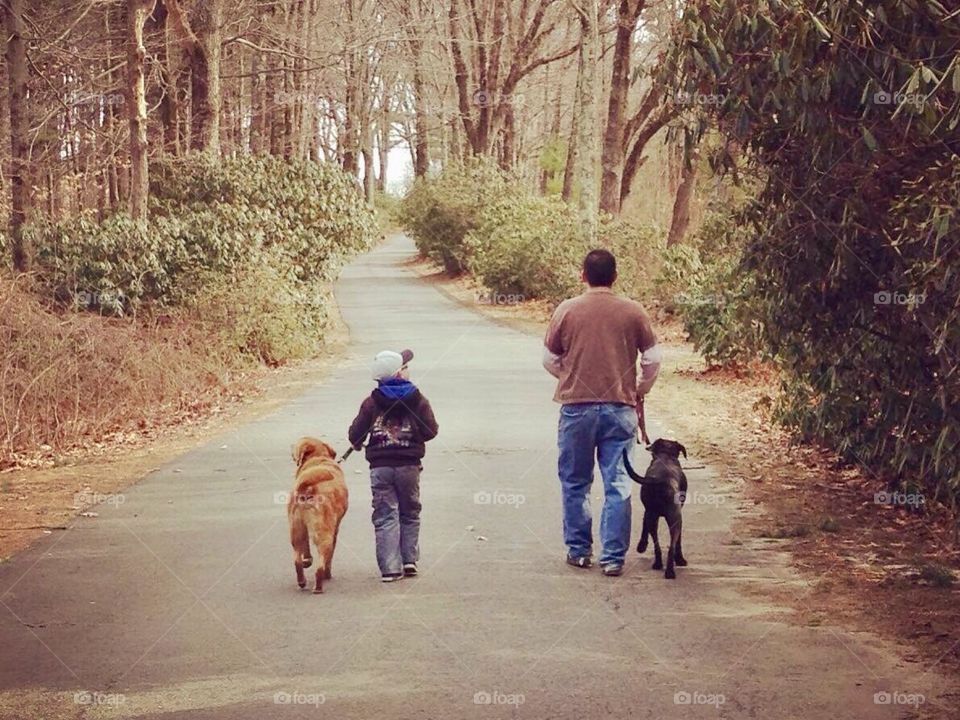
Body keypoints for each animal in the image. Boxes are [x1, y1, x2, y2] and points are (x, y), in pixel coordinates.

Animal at [288, 436, 348, 592]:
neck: (318, 458)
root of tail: (307, 487)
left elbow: (306, 548)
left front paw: (307, 560)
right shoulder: (335, 529)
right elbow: (330, 556)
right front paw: (328, 572)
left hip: (296, 530)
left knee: (297, 559)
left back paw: (302, 581)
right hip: (324, 535)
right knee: (320, 565)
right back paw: (320, 585)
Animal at [624, 438, 688, 580]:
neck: (666, 456)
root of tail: (660, 481)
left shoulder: (648, 511)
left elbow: (644, 525)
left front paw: (641, 545)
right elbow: (679, 541)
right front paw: (680, 559)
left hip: (653, 516)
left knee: (657, 544)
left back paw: (660, 565)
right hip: (675, 518)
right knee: (671, 546)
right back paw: (670, 570)